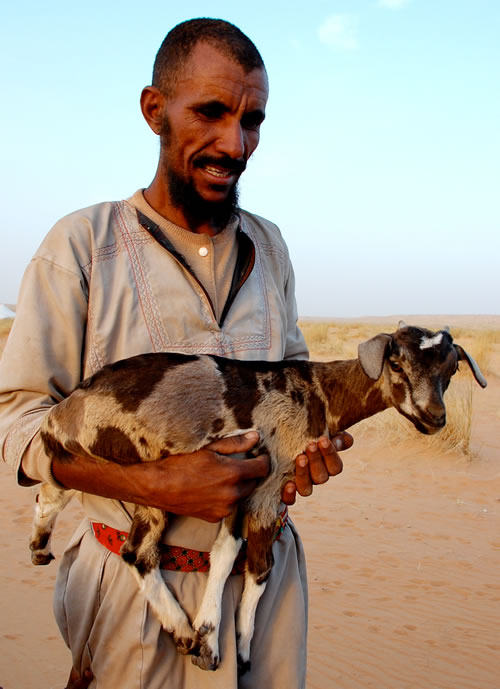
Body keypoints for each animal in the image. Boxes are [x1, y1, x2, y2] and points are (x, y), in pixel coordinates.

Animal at [29, 322, 486, 672]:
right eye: (396, 362)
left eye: (451, 368)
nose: (434, 417)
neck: (319, 393)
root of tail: (62, 412)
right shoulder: (254, 479)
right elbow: (229, 554)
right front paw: (210, 641)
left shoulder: (275, 492)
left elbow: (260, 566)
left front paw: (244, 648)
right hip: (150, 471)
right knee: (136, 550)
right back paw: (183, 629)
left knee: (58, 483)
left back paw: (40, 542)